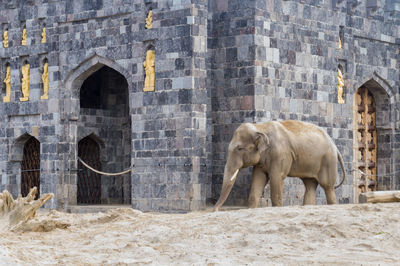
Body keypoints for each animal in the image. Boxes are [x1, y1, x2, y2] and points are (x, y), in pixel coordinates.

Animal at [214, 119, 346, 211]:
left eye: (239, 148)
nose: (215, 210)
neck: (260, 127)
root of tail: (335, 146)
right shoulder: (261, 160)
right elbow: (258, 178)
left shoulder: (280, 154)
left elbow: (276, 178)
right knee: (310, 185)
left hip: (328, 161)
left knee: (327, 186)